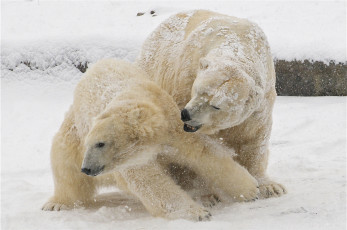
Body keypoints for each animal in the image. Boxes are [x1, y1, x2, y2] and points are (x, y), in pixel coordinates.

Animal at [42, 58, 260, 220]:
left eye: (100, 144)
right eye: (92, 143)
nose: (87, 168)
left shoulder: (173, 126)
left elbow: (204, 154)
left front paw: (251, 189)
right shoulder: (133, 158)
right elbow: (150, 181)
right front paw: (197, 213)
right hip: (72, 134)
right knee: (65, 165)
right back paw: (56, 203)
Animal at [137, 9, 286, 198]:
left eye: (216, 105)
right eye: (198, 89)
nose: (186, 114)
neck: (236, 44)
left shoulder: (262, 99)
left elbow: (254, 137)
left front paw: (270, 186)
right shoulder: (184, 78)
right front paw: (204, 194)